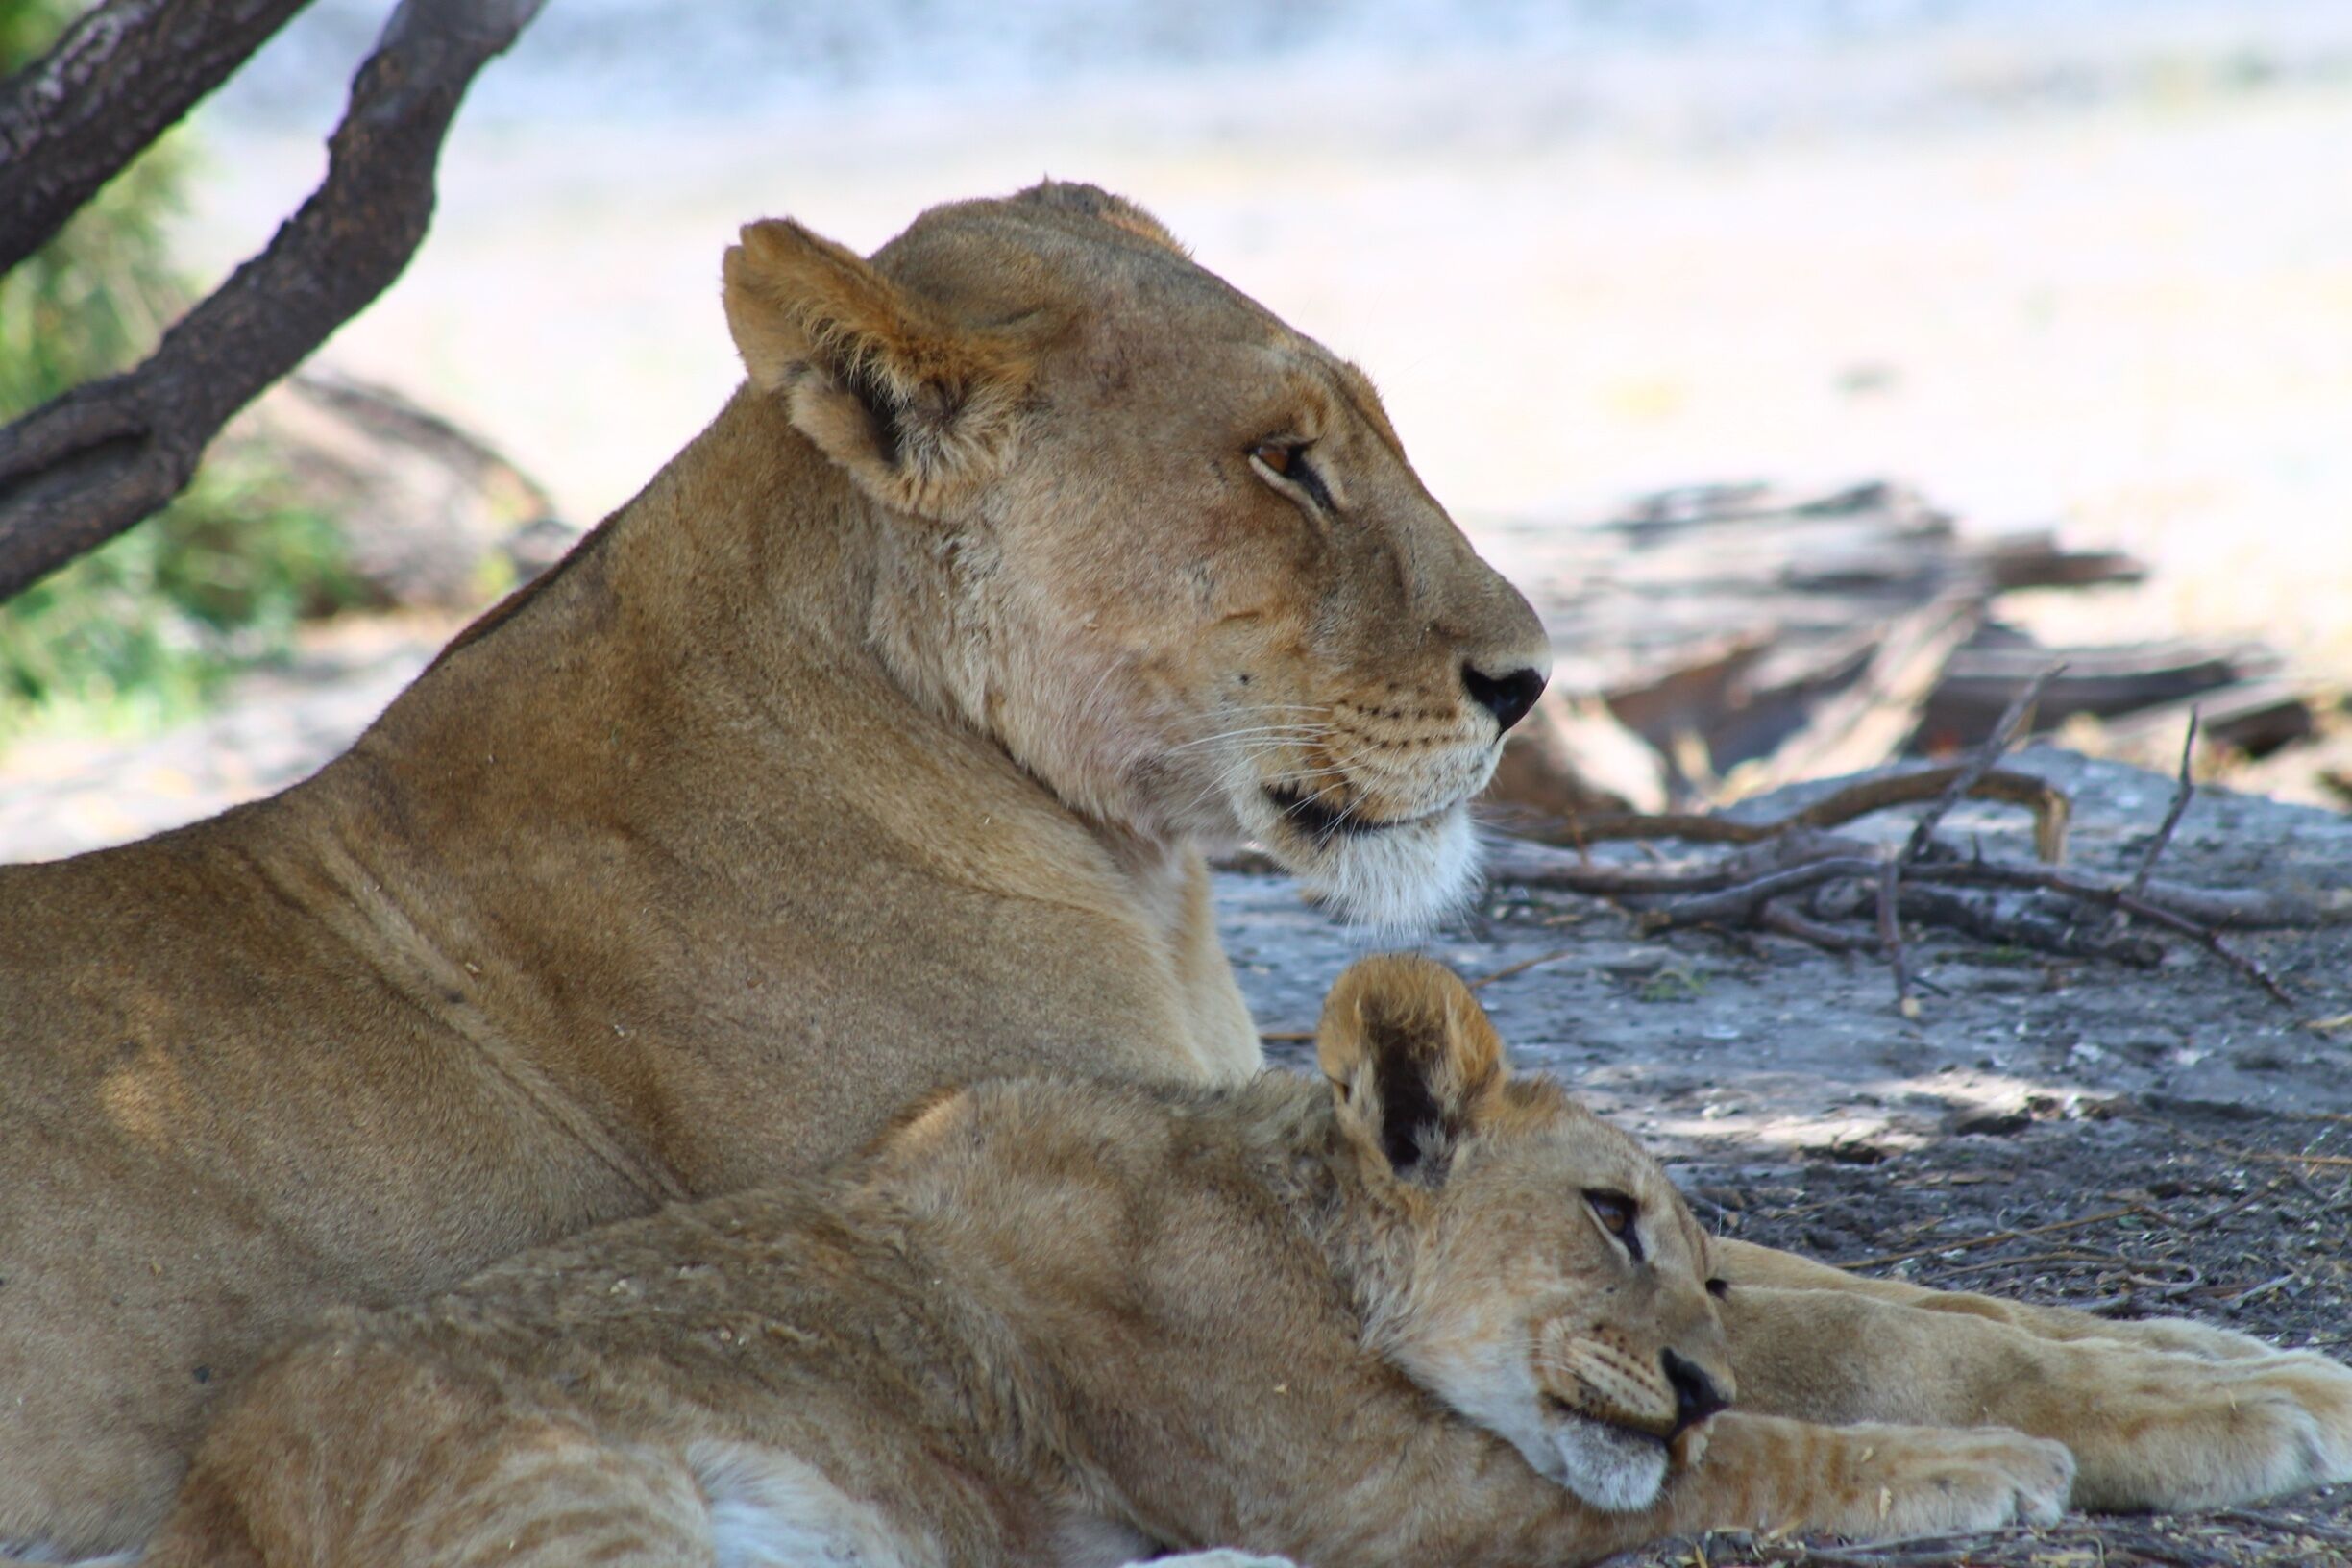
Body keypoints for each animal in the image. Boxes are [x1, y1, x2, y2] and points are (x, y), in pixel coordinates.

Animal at [142, 959, 2092, 1568]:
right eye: (1610, 1218)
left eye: (1715, 1274)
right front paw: (1999, 1461)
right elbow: (1750, 1463)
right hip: (567, 1497)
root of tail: (201, 1496)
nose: (1689, 1371)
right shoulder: (1389, 1495)